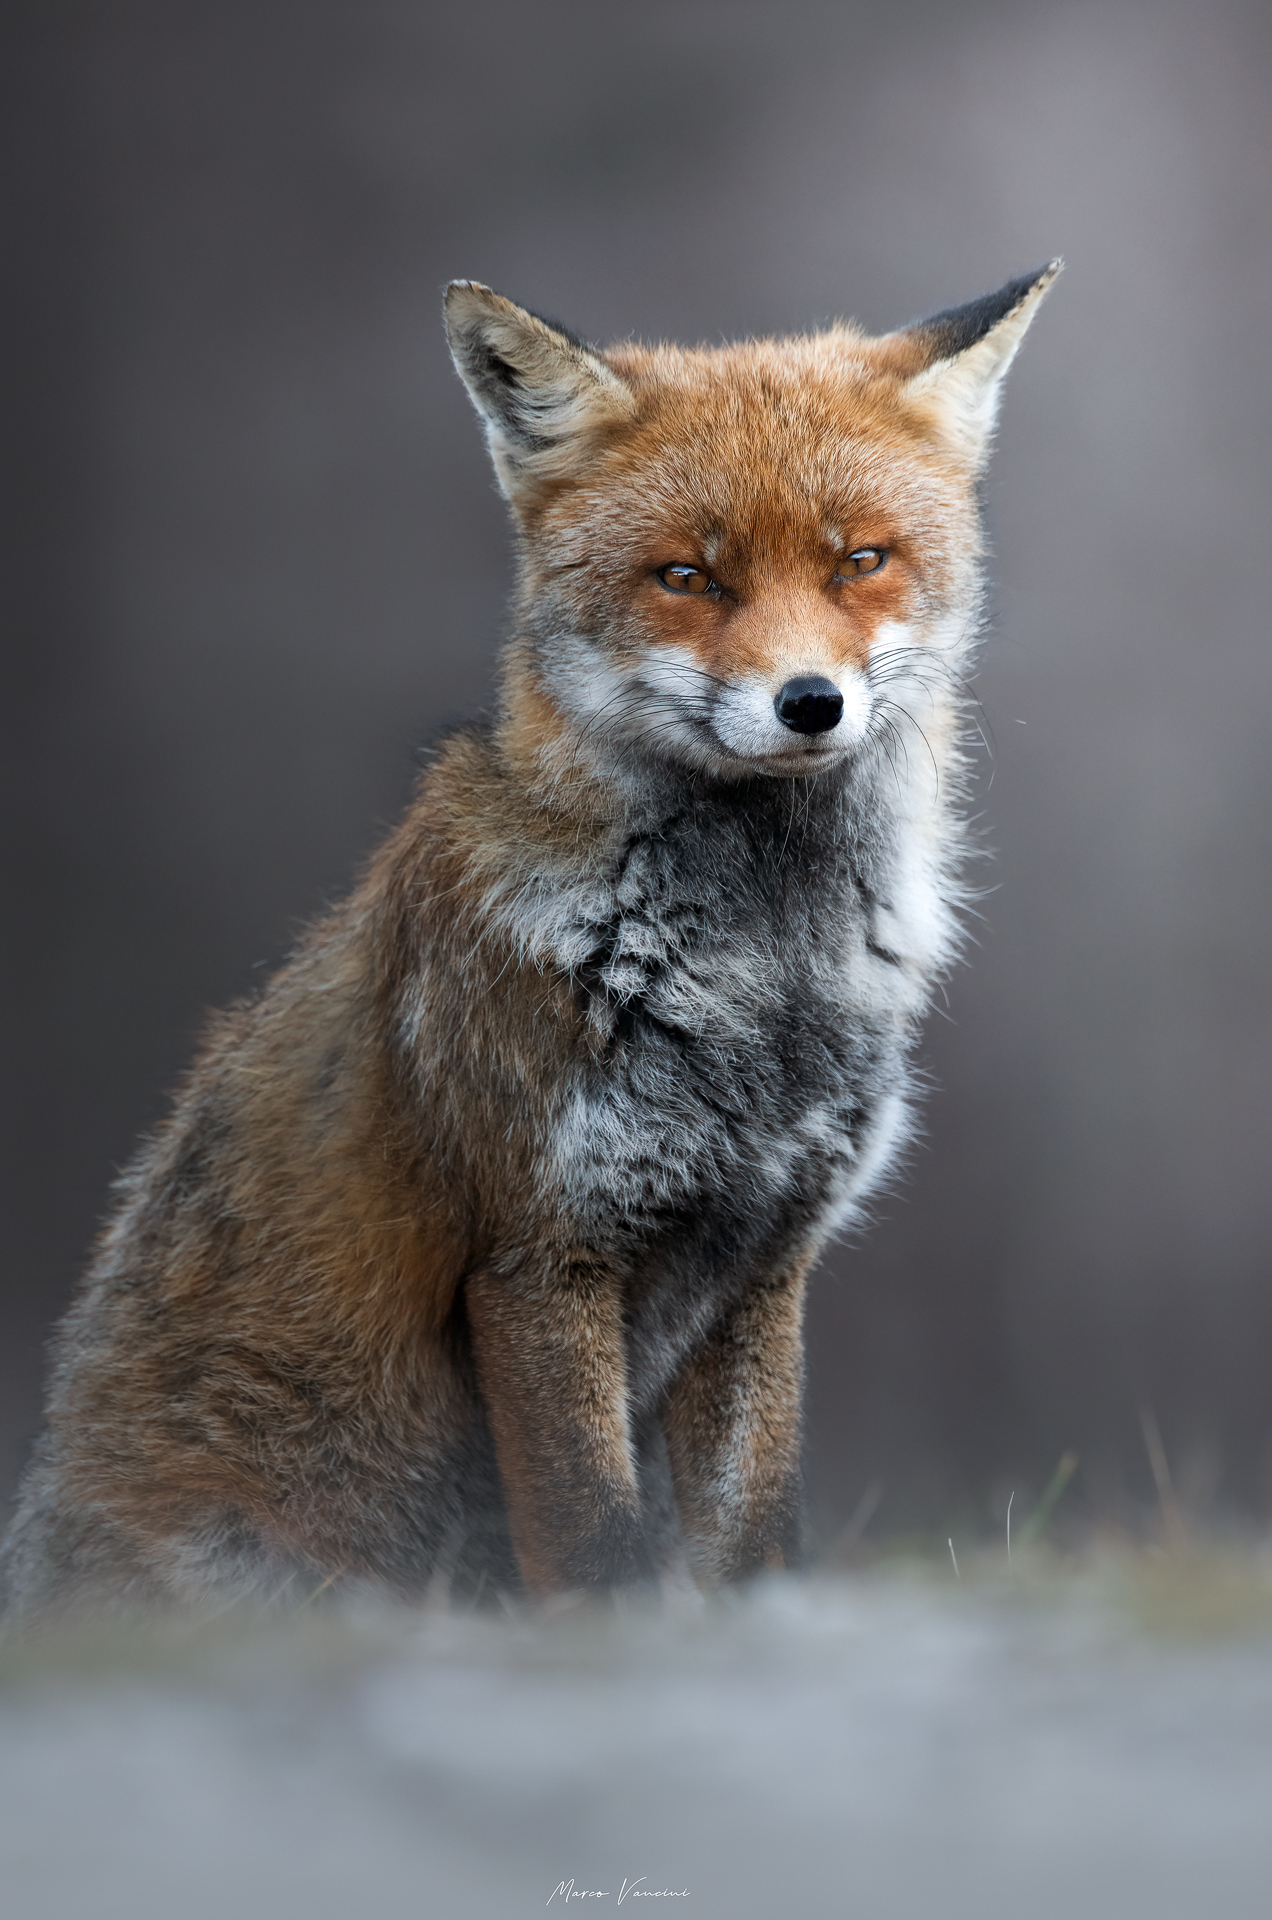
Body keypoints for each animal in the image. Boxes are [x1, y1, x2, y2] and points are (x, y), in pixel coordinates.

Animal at [1, 262, 1059, 1618]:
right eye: (688, 578)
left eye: (860, 561)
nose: (811, 702)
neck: (753, 972)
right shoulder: (538, 1255)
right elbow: (593, 1538)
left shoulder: (765, 1260)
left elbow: (753, 1535)